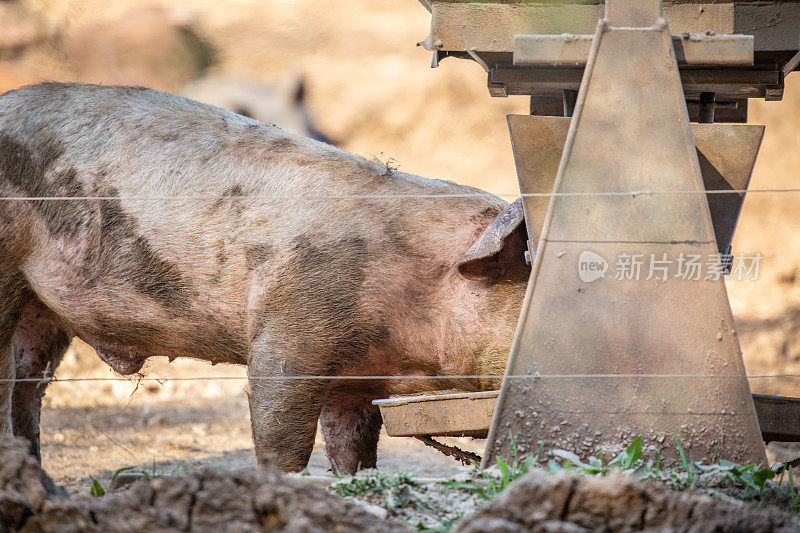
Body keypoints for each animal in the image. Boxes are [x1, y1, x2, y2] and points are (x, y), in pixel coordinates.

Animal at [0, 80, 532, 482]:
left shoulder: (357, 376)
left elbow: (353, 443)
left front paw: (355, 484)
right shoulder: (291, 330)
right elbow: (281, 432)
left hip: (42, 311)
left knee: (27, 390)